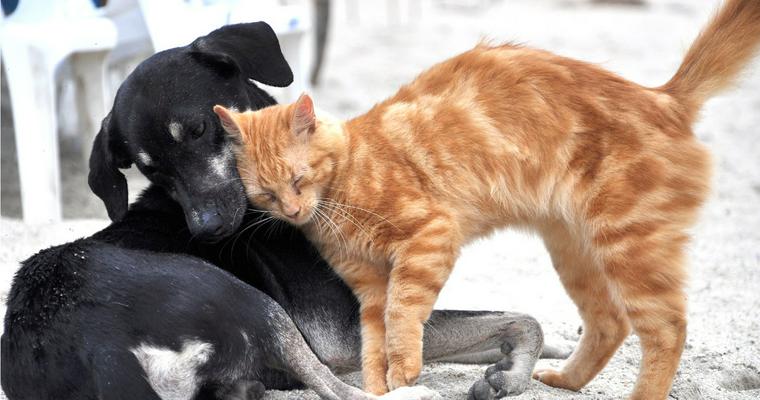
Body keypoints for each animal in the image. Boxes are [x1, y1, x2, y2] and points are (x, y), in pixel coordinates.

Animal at [1, 22, 560, 400]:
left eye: (199, 130)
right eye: (149, 170)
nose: (207, 230)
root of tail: (85, 343)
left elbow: (518, 320)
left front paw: (534, 358)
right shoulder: (342, 330)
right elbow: (524, 317)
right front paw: (515, 371)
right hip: (251, 300)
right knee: (339, 389)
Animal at [214, 1, 760, 398]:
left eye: (299, 179)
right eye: (266, 193)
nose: (291, 211)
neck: (346, 182)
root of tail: (663, 97)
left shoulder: (428, 239)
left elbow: (402, 318)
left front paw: (404, 373)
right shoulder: (367, 290)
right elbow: (374, 344)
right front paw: (382, 386)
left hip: (629, 245)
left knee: (667, 328)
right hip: (576, 251)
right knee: (610, 322)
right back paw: (565, 380)